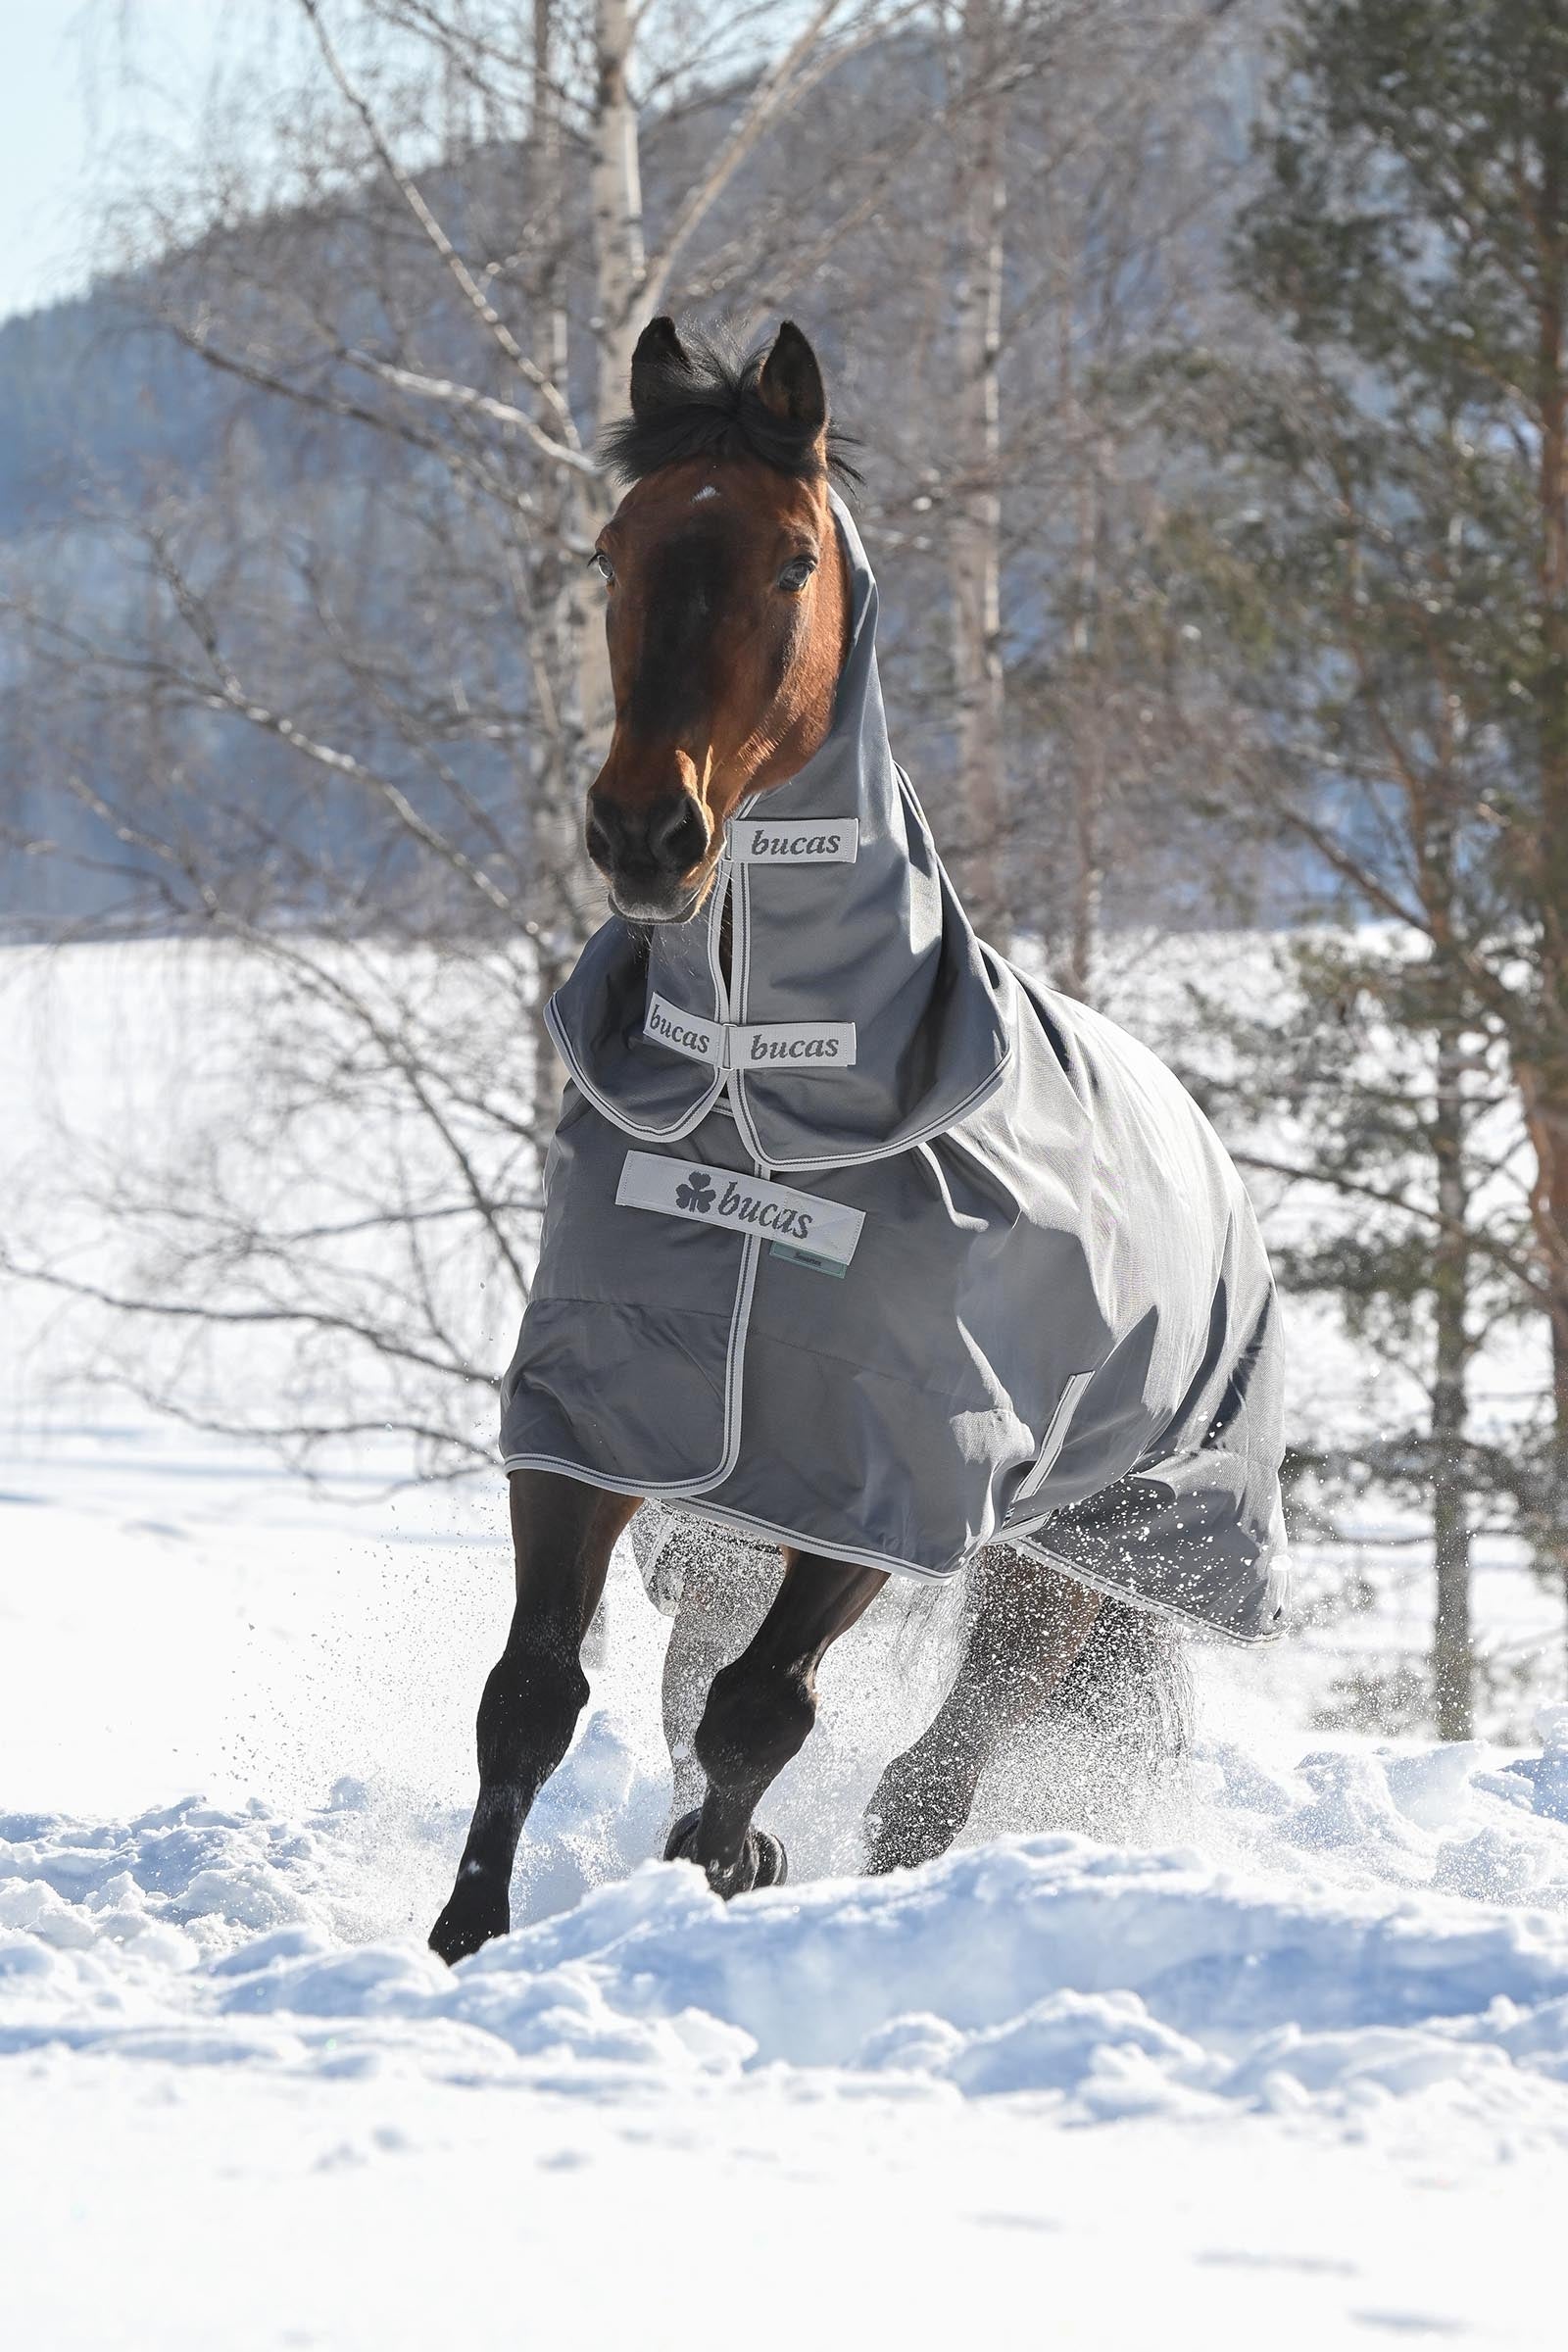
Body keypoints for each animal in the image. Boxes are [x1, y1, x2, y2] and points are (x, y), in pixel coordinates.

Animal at [429, 318, 1287, 1966]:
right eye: (613, 547)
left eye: (789, 561)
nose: (646, 833)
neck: (760, 1091)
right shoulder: (602, 1424)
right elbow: (530, 1696)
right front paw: (464, 1943)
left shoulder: (892, 1480)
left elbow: (764, 1714)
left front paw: (721, 1877)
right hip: (736, 1527)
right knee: (698, 1687)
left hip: (1062, 1564)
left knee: (926, 1780)